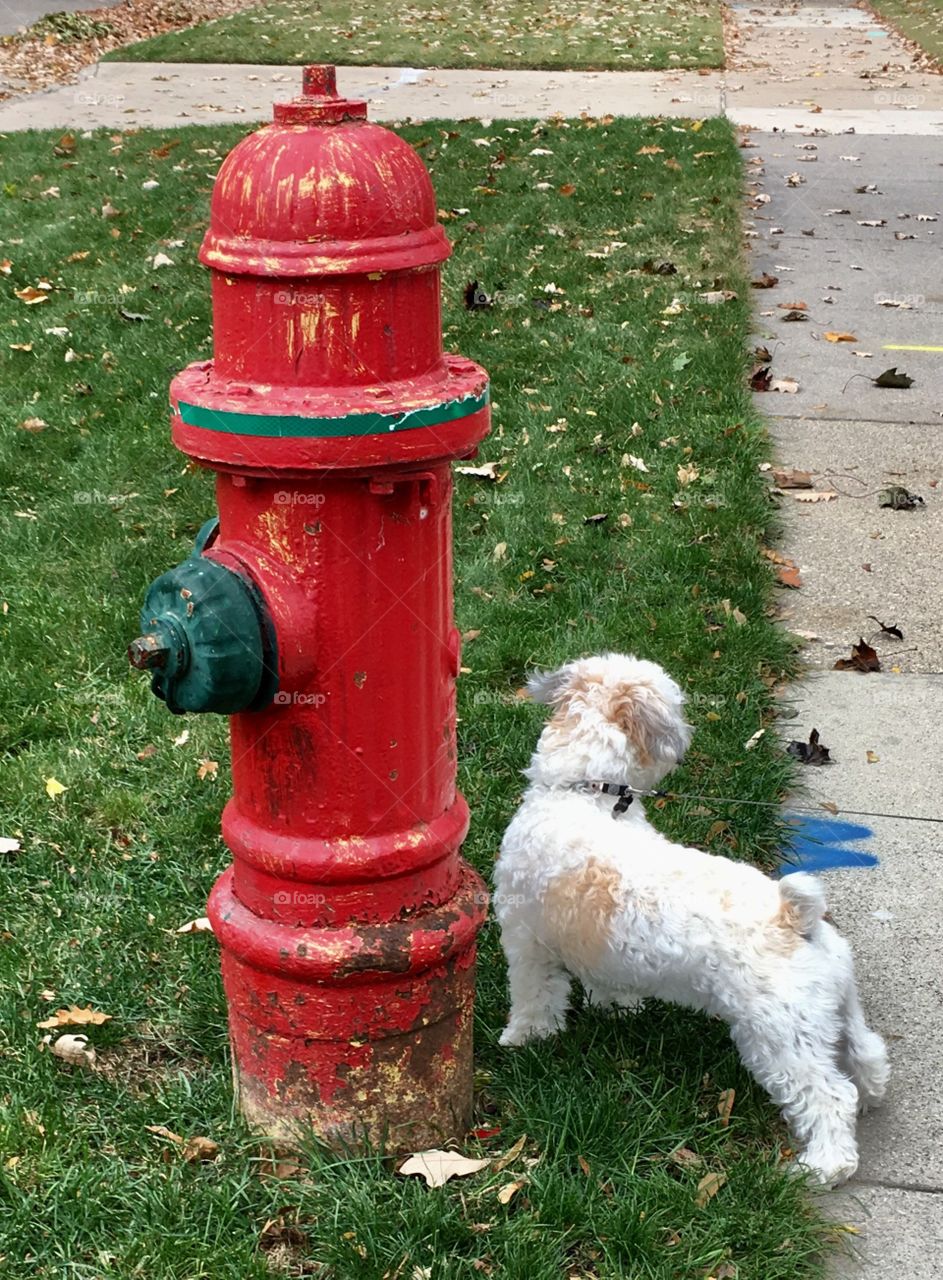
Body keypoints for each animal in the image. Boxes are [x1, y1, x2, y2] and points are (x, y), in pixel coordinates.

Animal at [496, 655, 885, 1182]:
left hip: (780, 1037)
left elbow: (534, 1000)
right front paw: (618, 1009)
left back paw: (823, 1166)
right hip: (833, 1011)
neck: (585, 793)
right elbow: (609, 985)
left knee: (828, 1095)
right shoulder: (601, 951)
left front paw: (523, 1040)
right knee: (867, 1053)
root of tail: (793, 915)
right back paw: (871, 1092)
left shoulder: (526, 942)